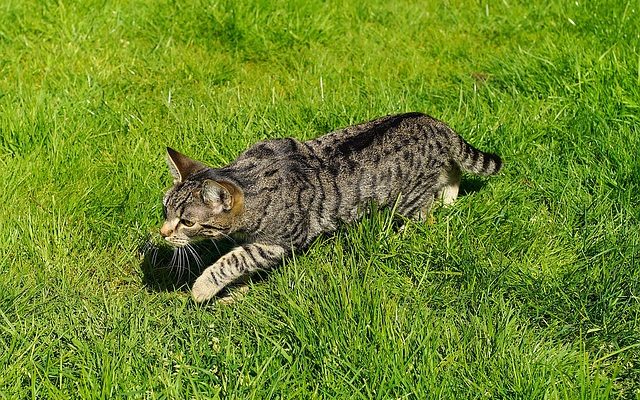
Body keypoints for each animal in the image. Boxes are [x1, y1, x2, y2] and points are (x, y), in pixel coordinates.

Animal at [158, 111, 502, 302]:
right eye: (165, 210)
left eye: (187, 222)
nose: (162, 233)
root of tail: (435, 123)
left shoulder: (281, 240)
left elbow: (233, 260)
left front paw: (203, 287)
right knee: (453, 170)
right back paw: (449, 198)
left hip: (411, 199)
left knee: (425, 213)